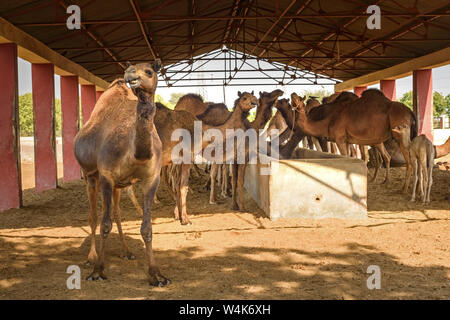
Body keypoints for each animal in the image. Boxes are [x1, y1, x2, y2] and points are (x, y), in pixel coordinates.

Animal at [74, 61, 169, 286]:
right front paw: (98, 271)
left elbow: (146, 228)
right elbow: (104, 224)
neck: (135, 153)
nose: (130, 74)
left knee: (116, 212)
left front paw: (156, 275)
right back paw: (91, 257)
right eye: (130, 68)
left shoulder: (151, 178)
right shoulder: (106, 175)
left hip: (117, 185)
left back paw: (126, 251)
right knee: (93, 216)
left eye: (149, 71)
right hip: (90, 176)